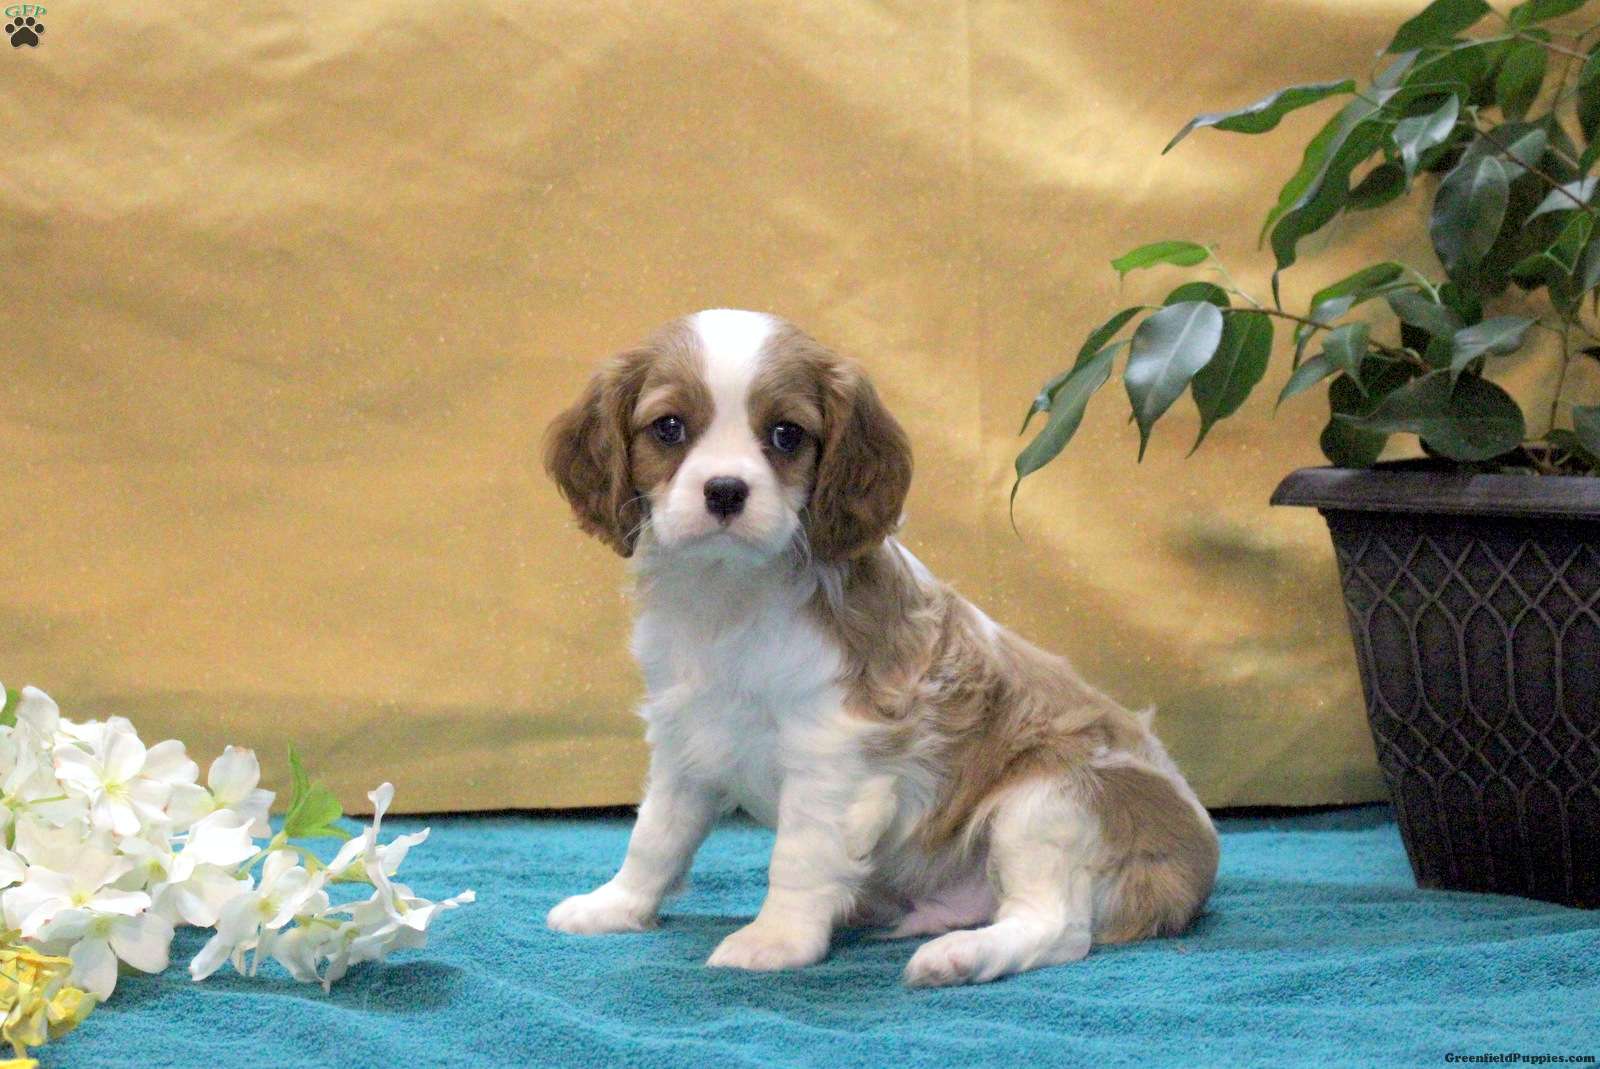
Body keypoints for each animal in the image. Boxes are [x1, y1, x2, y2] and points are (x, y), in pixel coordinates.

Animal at [542, 309, 1218, 987]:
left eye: (786, 435)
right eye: (669, 427)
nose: (726, 489)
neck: (728, 592)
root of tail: (1197, 867)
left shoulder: (833, 749)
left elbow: (798, 855)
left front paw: (775, 941)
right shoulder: (685, 737)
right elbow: (656, 835)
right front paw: (616, 907)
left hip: (1049, 802)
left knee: (1058, 928)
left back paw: (958, 956)